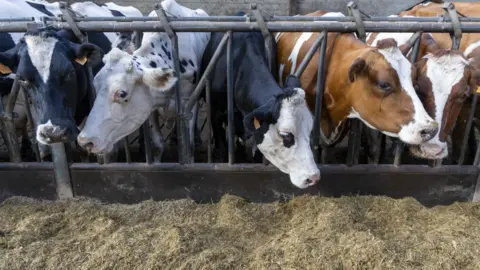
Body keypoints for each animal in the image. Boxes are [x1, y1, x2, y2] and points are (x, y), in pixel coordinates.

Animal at [77, 0, 208, 162]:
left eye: (121, 93)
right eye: (95, 85)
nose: (84, 141)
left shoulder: (187, 102)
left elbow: (188, 145)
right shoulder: (150, 107)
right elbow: (158, 144)